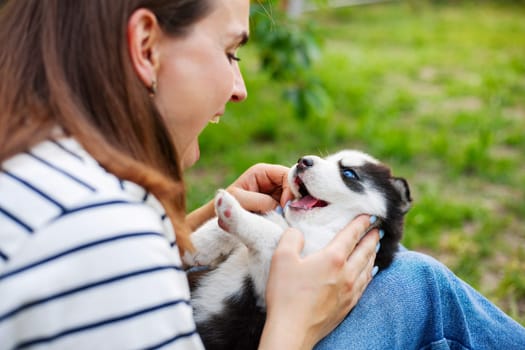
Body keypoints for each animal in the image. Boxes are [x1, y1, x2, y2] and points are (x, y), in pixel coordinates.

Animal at [182, 149, 412, 348]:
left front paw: (231, 209)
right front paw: (193, 243)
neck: (312, 229)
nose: (303, 161)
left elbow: (269, 230)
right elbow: (259, 220)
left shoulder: (269, 283)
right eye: (326, 159)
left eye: (348, 173)